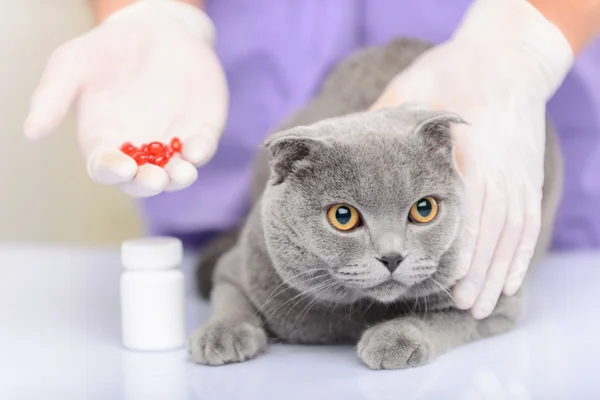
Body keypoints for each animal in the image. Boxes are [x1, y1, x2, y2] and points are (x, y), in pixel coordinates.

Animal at [189, 37, 564, 368]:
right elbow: (229, 297)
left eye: (424, 209)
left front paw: (394, 339)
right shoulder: (242, 264)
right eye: (343, 216)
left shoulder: (492, 297)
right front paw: (219, 335)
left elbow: (442, 320)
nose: (392, 256)